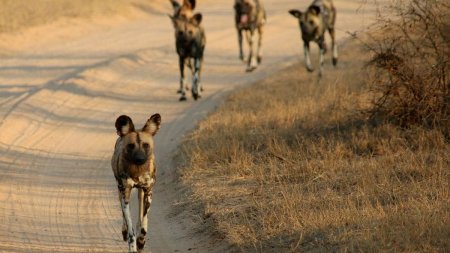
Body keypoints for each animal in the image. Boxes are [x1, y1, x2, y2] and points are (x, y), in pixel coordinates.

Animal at [111, 113, 162, 252]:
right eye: (131, 146)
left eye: (146, 145)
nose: (139, 159)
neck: (137, 171)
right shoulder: (125, 195)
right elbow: (130, 228)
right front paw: (133, 245)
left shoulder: (148, 192)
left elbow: (143, 225)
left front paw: (141, 242)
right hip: (120, 190)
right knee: (125, 218)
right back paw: (124, 231)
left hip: (142, 193)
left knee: (141, 217)